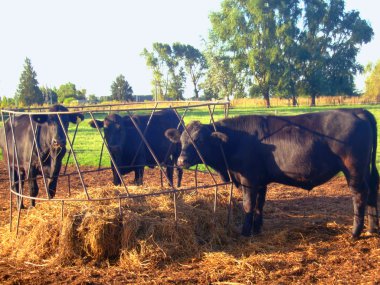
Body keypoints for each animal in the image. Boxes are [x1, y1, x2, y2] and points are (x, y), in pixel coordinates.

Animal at [166, 108, 380, 237]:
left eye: (200, 140)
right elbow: (259, 205)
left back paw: (355, 232)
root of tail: (356, 111)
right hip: (365, 170)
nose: (181, 161)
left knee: (360, 195)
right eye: (182, 140)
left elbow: (248, 204)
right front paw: (257, 228)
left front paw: (245, 232)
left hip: (353, 169)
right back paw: (372, 228)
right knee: (372, 192)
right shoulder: (261, 180)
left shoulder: (249, 179)